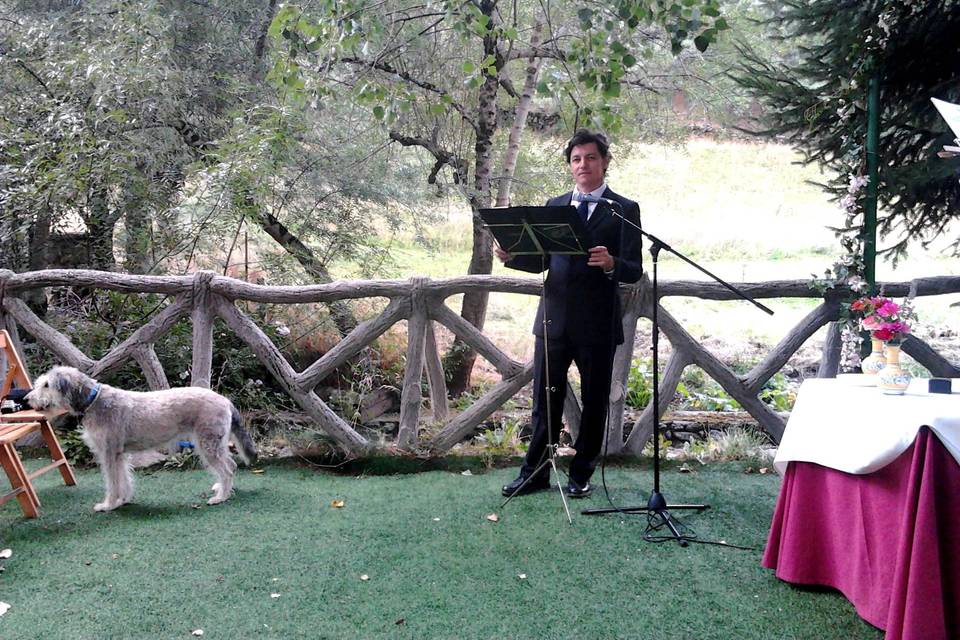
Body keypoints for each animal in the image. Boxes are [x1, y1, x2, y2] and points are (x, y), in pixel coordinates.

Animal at [25, 364, 258, 510]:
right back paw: (223, 489)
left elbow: (112, 482)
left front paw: (108, 505)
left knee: (227, 468)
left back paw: (221, 497)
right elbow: (124, 479)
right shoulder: (119, 454)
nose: (27, 399)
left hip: (207, 444)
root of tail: (225, 400)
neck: (94, 400)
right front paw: (123, 500)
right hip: (215, 443)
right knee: (231, 465)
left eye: (46, 385)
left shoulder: (108, 454)